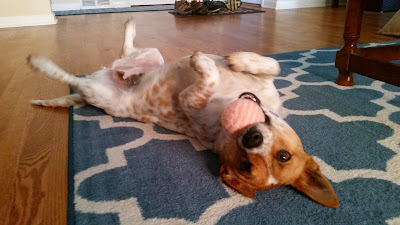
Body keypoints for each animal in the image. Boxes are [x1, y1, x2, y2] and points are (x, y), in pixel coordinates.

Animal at [29, 16, 340, 208]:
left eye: (245, 166)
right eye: (283, 155)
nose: (252, 138)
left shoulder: (189, 100)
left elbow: (205, 79)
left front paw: (204, 61)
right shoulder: (267, 84)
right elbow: (272, 65)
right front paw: (237, 59)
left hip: (99, 92)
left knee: (71, 78)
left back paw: (40, 63)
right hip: (151, 55)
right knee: (125, 51)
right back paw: (129, 26)